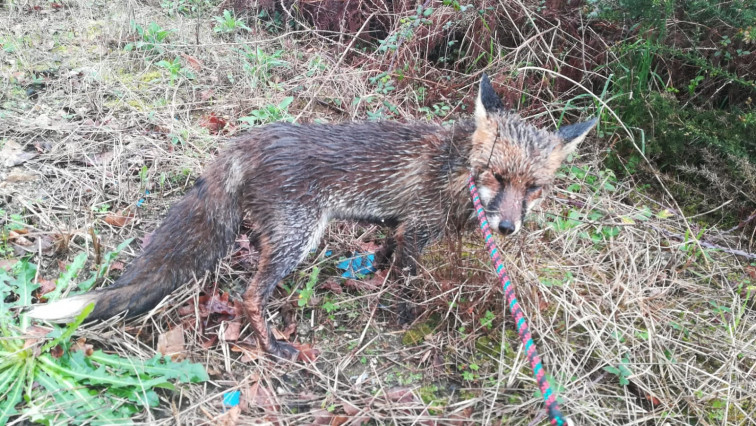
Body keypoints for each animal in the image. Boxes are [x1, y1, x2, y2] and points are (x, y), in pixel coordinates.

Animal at [28, 74, 596, 360]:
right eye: (496, 177)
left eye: (534, 189)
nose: (507, 229)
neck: (455, 174)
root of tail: (247, 140)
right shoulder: (420, 229)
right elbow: (409, 283)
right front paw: (406, 317)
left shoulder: (401, 225)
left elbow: (386, 252)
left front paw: (374, 273)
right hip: (300, 236)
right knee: (250, 294)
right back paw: (272, 345)